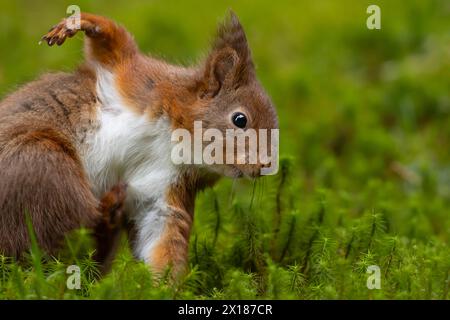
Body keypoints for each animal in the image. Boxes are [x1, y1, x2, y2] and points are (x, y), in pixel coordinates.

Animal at [0, 11, 278, 274]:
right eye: (240, 119)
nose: (265, 166)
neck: (175, 143)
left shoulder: (162, 189)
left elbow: (162, 237)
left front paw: (165, 284)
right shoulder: (136, 78)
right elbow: (114, 44)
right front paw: (77, 23)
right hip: (41, 162)